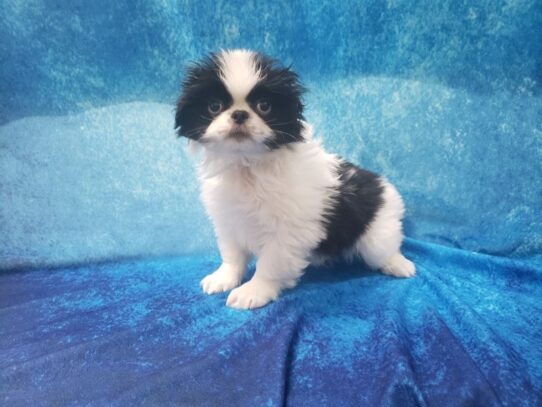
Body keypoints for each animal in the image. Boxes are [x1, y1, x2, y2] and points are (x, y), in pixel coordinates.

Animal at [175, 48, 416, 310]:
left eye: (264, 106)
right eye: (214, 106)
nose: (239, 114)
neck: (247, 165)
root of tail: (382, 185)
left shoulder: (287, 231)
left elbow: (270, 263)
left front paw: (255, 290)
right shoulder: (229, 220)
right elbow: (232, 254)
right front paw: (224, 278)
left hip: (377, 233)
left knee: (385, 250)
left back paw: (399, 265)